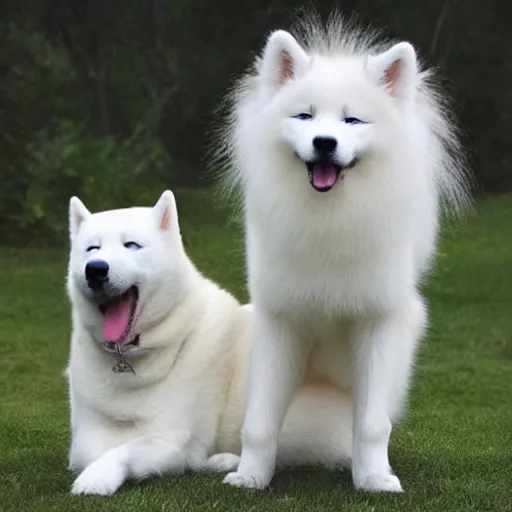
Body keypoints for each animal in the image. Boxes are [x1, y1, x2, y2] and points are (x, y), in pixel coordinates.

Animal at [66, 190, 352, 494]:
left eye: (131, 245)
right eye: (92, 249)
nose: (95, 269)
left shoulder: (171, 438)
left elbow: (125, 449)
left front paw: (96, 478)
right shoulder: (86, 436)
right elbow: (93, 452)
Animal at [216, 15, 472, 492]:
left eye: (353, 120)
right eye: (304, 115)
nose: (324, 142)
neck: (329, 219)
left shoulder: (378, 322)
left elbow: (372, 424)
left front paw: (373, 478)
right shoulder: (280, 321)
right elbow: (258, 422)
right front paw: (250, 476)